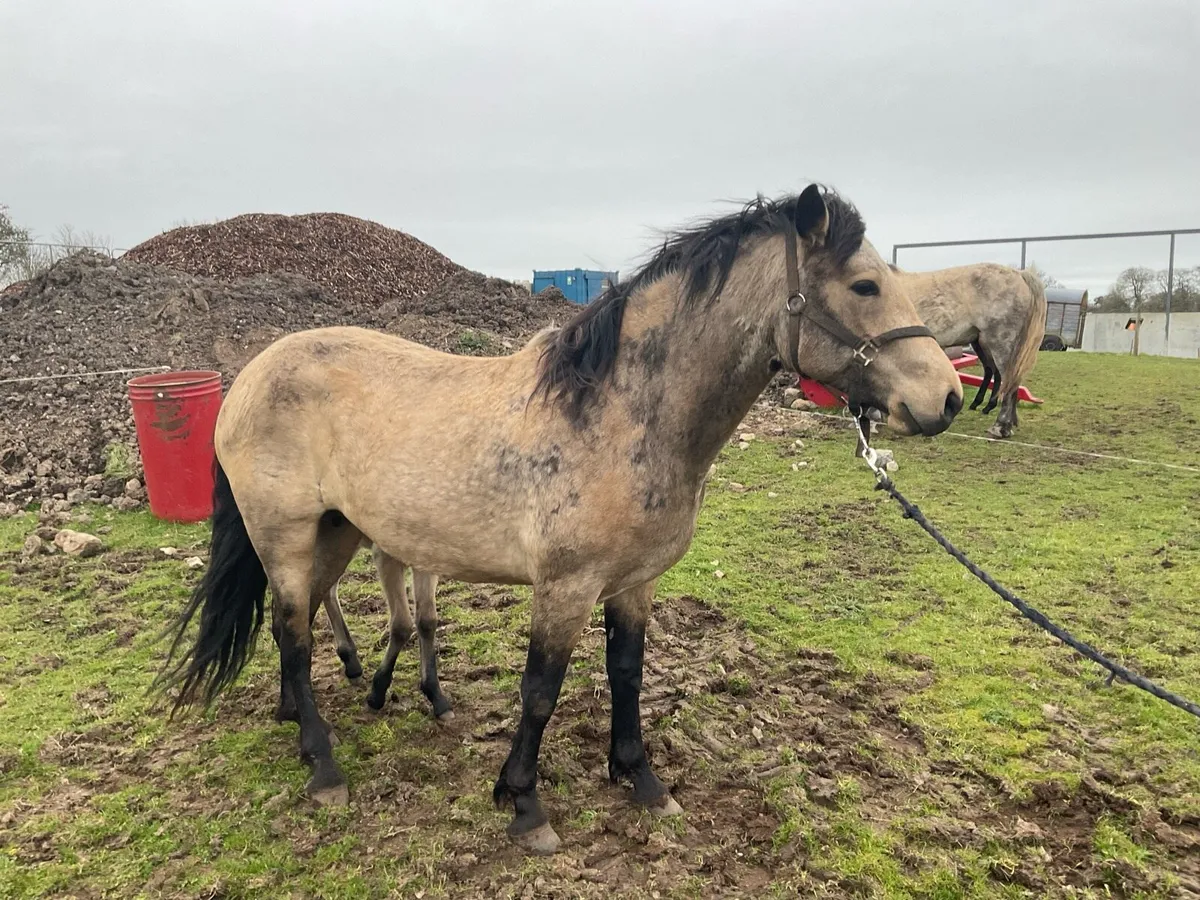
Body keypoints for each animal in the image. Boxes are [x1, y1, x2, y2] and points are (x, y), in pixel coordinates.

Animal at [157, 183, 964, 855]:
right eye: (864, 285)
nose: (949, 398)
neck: (617, 413)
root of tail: (250, 375)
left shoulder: (633, 585)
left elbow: (627, 674)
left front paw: (641, 781)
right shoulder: (566, 587)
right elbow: (540, 691)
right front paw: (523, 805)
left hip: (337, 531)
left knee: (290, 627)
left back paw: (298, 721)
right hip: (288, 535)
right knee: (293, 634)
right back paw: (323, 767)